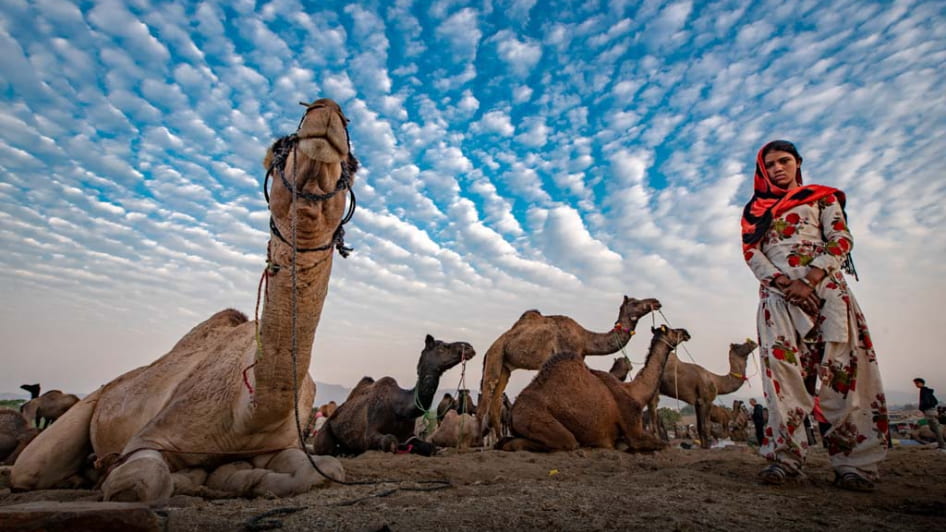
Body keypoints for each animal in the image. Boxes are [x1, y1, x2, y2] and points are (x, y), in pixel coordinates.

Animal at [12, 99, 357, 502]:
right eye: (277, 147)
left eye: (353, 165)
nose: (327, 109)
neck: (250, 410)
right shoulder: (152, 437)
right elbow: (138, 483)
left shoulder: (281, 444)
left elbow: (322, 471)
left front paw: (232, 477)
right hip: (85, 407)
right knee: (29, 470)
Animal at [311, 335, 475, 456]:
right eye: (441, 347)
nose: (469, 347)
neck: (399, 408)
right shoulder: (369, 433)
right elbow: (390, 441)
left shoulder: (409, 436)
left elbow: (431, 448)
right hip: (324, 433)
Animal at [477, 296, 661, 441]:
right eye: (635, 302)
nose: (656, 302)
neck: (585, 339)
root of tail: (489, 348)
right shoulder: (567, 351)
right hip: (496, 354)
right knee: (487, 392)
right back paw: (476, 442)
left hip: (505, 366)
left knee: (496, 400)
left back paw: (499, 441)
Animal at [497, 325, 691, 453]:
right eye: (672, 331)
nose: (686, 332)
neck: (635, 393)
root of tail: (513, 412)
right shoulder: (634, 429)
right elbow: (664, 444)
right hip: (539, 420)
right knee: (566, 442)